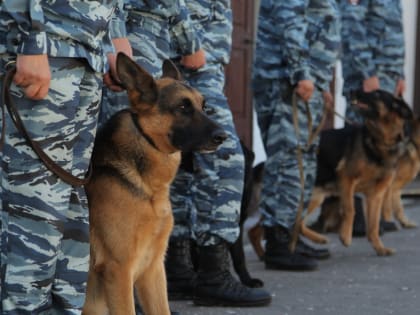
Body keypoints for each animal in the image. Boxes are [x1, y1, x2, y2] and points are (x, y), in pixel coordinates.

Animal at [81, 53, 226, 315]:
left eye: (203, 106)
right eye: (182, 107)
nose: (223, 136)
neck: (148, 187)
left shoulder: (153, 270)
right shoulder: (119, 271)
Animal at [302, 90, 414, 258]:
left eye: (377, 94)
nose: (350, 91)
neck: (380, 141)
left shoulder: (376, 195)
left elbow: (373, 225)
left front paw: (379, 247)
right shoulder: (347, 179)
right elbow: (350, 209)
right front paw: (345, 236)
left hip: (316, 196)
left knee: (296, 222)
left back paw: (317, 239)